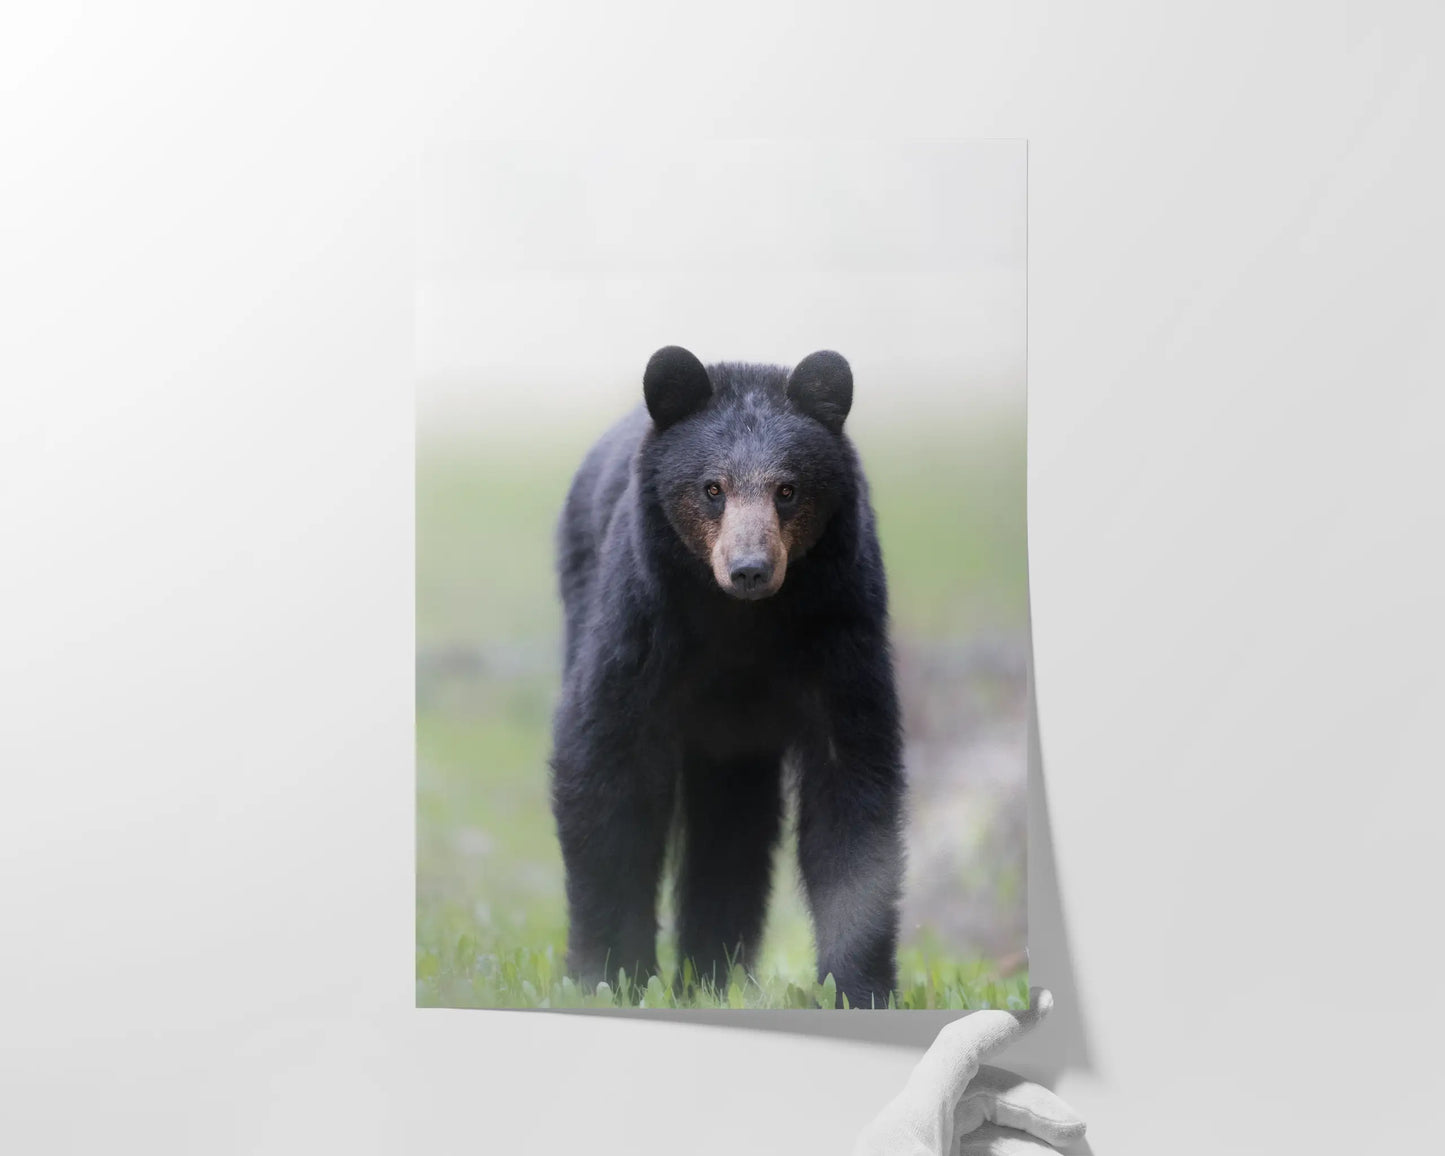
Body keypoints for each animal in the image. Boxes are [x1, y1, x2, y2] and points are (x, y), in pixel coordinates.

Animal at [548, 345, 905, 1009]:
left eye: (788, 489)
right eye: (712, 488)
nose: (749, 569)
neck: (741, 624)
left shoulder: (842, 626)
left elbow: (853, 787)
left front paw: (860, 988)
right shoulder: (640, 623)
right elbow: (605, 766)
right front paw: (609, 973)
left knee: (735, 826)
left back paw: (712, 975)